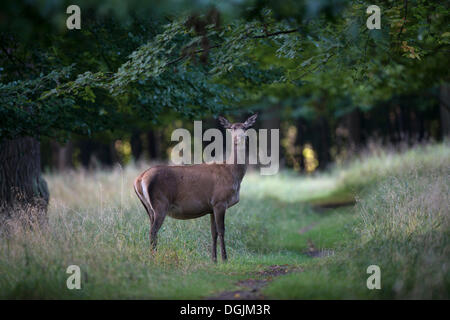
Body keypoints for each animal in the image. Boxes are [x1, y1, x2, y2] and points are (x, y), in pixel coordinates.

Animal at [133, 114, 256, 262]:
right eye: (232, 128)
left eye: (245, 127)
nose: (240, 137)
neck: (233, 174)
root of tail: (139, 179)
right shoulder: (220, 201)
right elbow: (222, 231)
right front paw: (225, 259)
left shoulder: (211, 207)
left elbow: (213, 233)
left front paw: (214, 260)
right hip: (160, 203)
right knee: (153, 231)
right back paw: (154, 258)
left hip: (149, 208)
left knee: (151, 230)